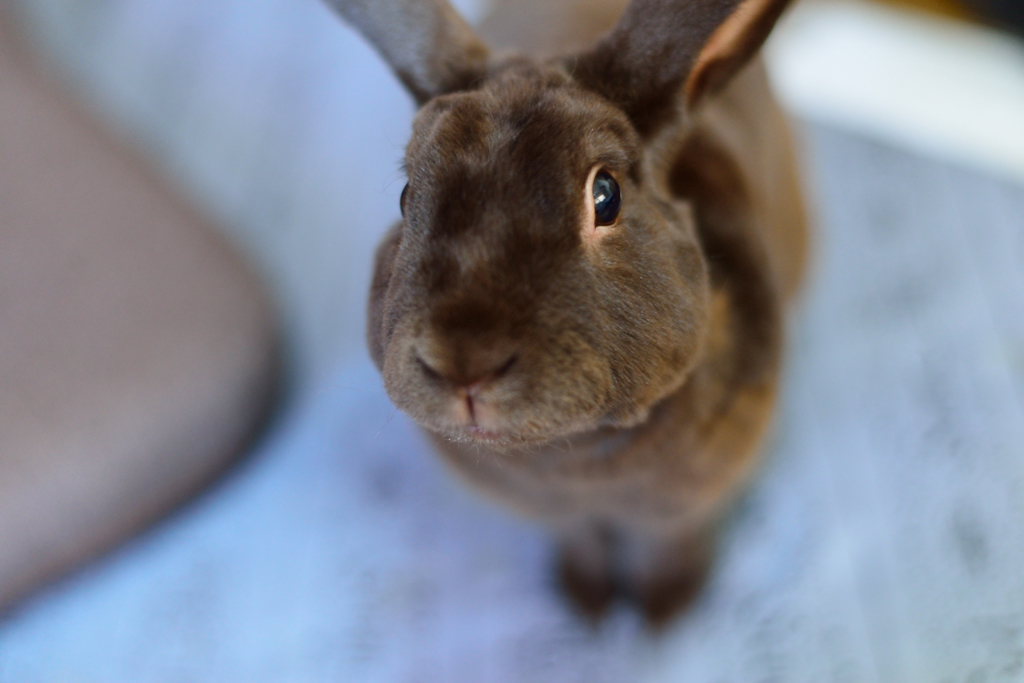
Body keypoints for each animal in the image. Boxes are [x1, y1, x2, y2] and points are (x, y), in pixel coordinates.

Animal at [327, 0, 806, 626]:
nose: (464, 363)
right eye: (407, 198)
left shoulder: (683, 507)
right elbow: (582, 540)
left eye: (606, 196)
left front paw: (666, 614)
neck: (574, 456)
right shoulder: (563, 517)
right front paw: (586, 603)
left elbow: (669, 544)